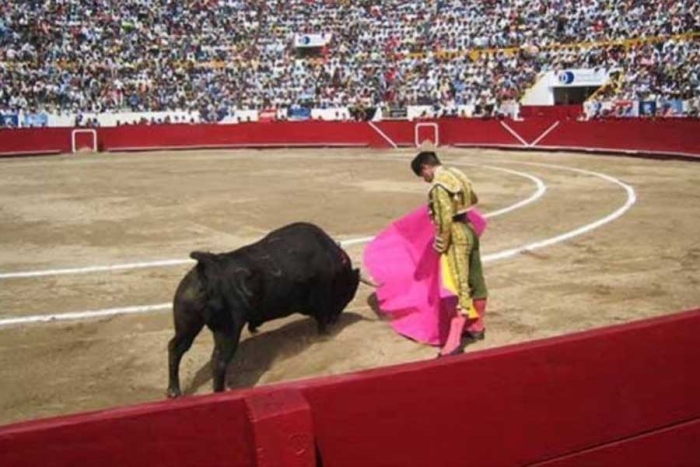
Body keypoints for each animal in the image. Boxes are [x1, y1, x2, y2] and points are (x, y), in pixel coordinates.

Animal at [165, 223, 372, 398]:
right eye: (349, 289)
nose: (336, 319)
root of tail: (205, 267)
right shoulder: (321, 299)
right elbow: (321, 320)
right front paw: (325, 336)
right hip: (228, 330)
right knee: (219, 361)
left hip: (187, 324)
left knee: (176, 348)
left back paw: (173, 391)